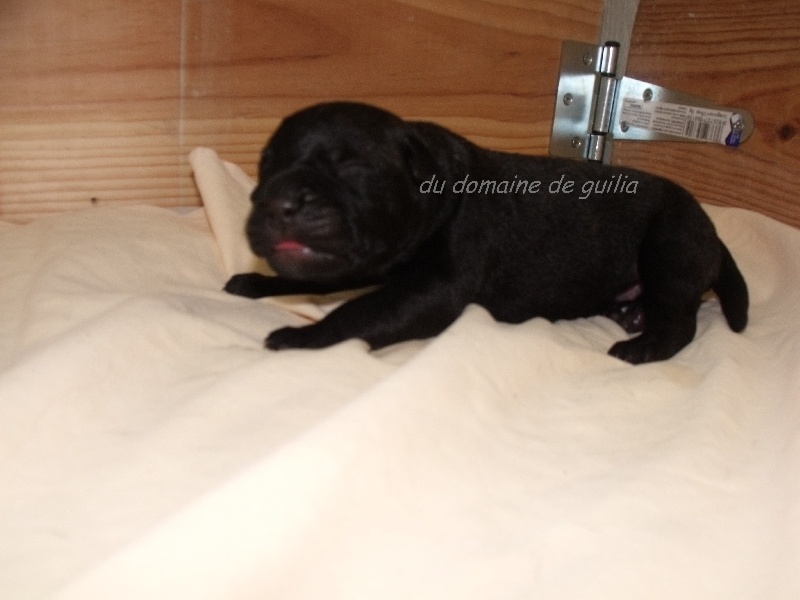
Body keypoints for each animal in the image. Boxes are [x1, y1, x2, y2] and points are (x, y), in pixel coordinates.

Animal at [225, 102, 748, 364]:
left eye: (350, 167)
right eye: (267, 164)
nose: (277, 202)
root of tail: (712, 230)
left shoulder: (432, 290)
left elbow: (359, 311)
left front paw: (302, 337)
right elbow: (316, 279)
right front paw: (258, 282)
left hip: (670, 245)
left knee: (681, 320)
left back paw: (642, 347)